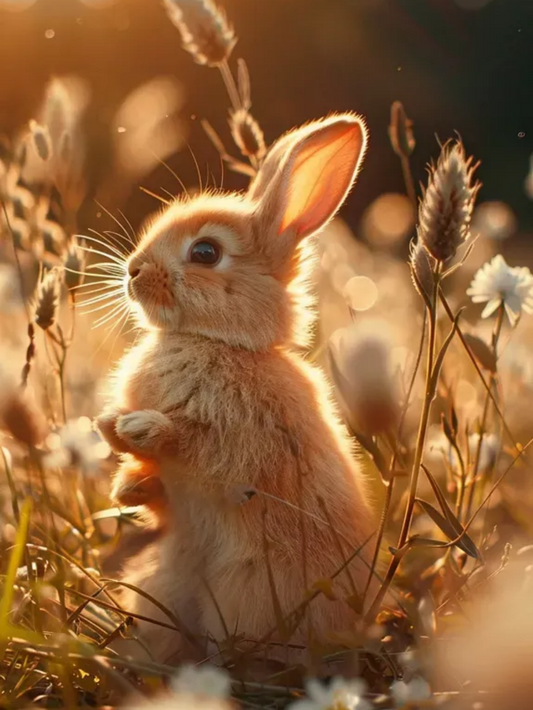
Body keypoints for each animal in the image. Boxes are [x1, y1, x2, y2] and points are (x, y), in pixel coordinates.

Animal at [96, 114, 375, 664]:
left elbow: (197, 447)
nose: (133, 271)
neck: (219, 342)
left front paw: (142, 428)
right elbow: (159, 493)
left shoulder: (245, 448)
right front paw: (120, 460)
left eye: (205, 252)